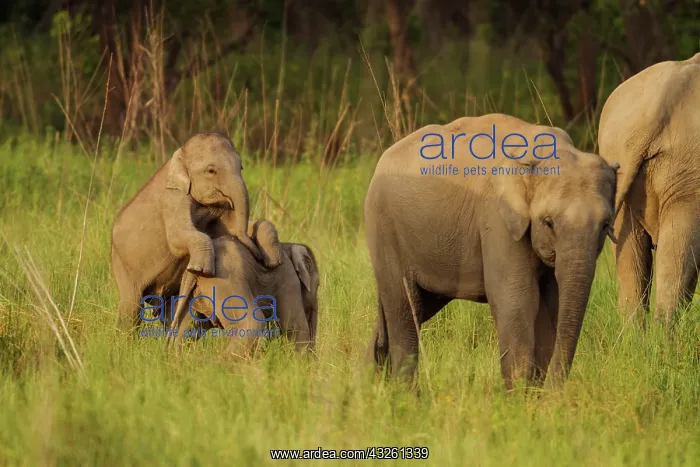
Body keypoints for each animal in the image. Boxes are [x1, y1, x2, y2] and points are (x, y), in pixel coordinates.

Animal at [111, 132, 283, 333]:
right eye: (211, 171)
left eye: (241, 167)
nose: (258, 256)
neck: (179, 157)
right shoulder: (173, 199)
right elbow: (177, 238)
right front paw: (200, 269)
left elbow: (231, 228)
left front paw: (274, 261)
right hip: (123, 267)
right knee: (131, 307)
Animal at [166, 238, 320, 355]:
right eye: (318, 285)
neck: (287, 245)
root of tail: (194, 269)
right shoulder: (288, 278)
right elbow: (294, 326)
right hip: (225, 284)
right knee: (251, 323)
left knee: (186, 330)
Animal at [364, 113, 618, 390]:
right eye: (548, 222)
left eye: (605, 225)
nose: (555, 392)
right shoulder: (497, 217)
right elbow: (517, 300)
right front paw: (518, 394)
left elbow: (552, 304)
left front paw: (533, 394)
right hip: (384, 228)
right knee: (404, 307)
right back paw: (404, 394)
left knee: (415, 308)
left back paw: (370, 383)